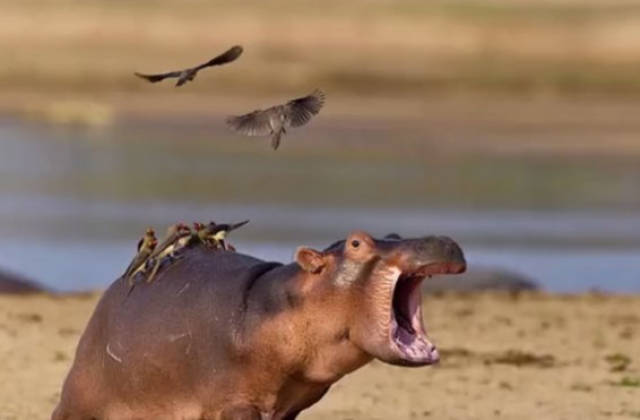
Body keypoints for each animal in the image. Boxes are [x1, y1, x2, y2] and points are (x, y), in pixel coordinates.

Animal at [53, 231, 464, 418]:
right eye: (356, 243)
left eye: (393, 235)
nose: (440, 239)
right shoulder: (236, 404)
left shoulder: (290, 407)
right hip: (79, 402)